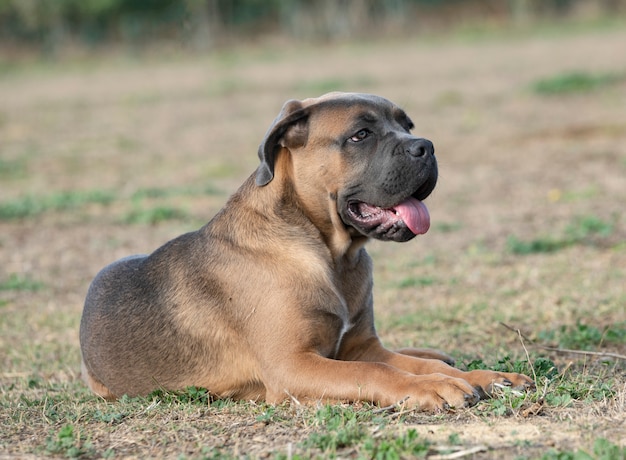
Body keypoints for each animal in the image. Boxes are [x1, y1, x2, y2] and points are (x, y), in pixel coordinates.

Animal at [79, 91, 532, 412]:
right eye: (361, 135)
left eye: (407, 125)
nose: (427, 146)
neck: (332, 255)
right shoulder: (293, 366)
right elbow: (378, 371)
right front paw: (433, 386)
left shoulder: (360, 344)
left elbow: (409, 363)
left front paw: (487, 376)